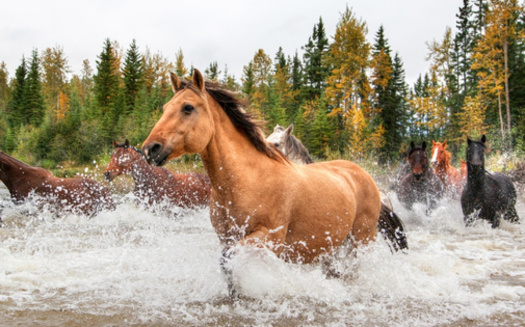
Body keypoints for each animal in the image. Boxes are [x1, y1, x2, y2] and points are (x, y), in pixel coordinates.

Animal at [141, 70, 408, 298]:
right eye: (165, 107)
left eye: (187, 107)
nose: (149, 149)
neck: (247, 179)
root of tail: (366, 177)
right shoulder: (227, 237)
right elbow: (227, 267)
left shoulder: (268, 238)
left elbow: (228, 259)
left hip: (361, 241)